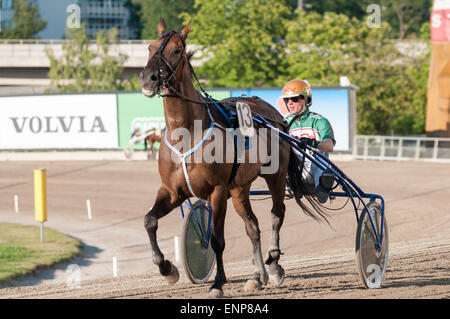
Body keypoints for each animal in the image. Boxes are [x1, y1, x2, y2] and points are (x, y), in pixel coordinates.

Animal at [139, 18, 326, 298]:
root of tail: (274, 114)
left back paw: (273, 266)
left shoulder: (217, 191)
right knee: (252, 226)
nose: (148, 78)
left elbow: (217, 240)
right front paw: (167, 269)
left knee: (277, 214)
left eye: (176, 50)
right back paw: (257, 276)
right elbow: (149, 221)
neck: (185, 133)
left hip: (275, 176)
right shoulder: (172, 191)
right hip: (239, 187)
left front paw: (217, 283)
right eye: (150, 47)